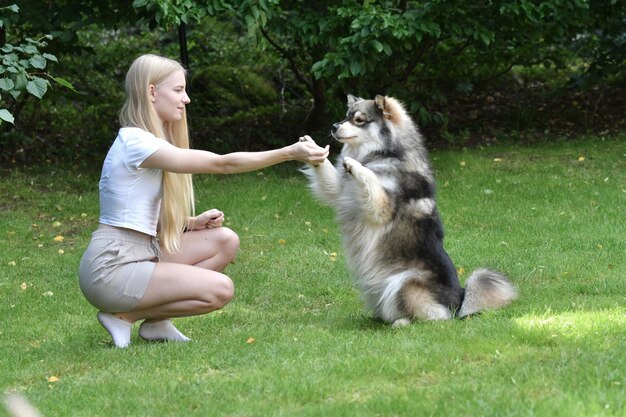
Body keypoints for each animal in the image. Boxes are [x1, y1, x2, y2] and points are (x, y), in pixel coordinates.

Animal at [300, 94, 516, 324]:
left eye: (359, 120)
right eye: (346, 116)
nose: (333, 126)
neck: (384, 153)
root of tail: (459, 302)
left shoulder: (381, 207)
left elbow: (368, 176)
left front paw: (355, 164)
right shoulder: (340, 192)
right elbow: (327, 173)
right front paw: (310, 146)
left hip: (403, 283)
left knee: (437, 317)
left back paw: (402, 322)